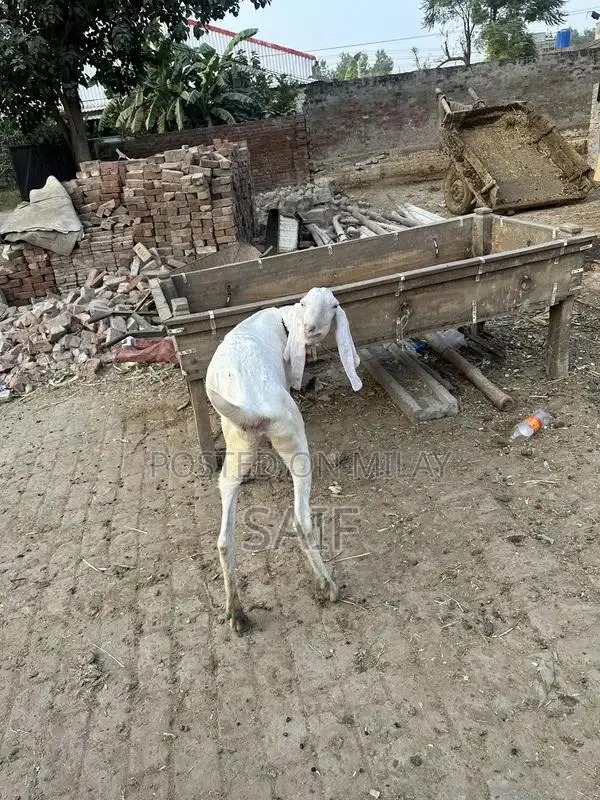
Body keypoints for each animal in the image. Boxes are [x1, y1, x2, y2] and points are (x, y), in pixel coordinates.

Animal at [205, 287, 363, 633]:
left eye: (332, 307)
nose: (310, 329)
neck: (284, 320)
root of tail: (251, 408)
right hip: (293, 435)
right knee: (300, 520)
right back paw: (327, 586)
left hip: (235, 445)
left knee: (224, 536)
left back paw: (236, 612)